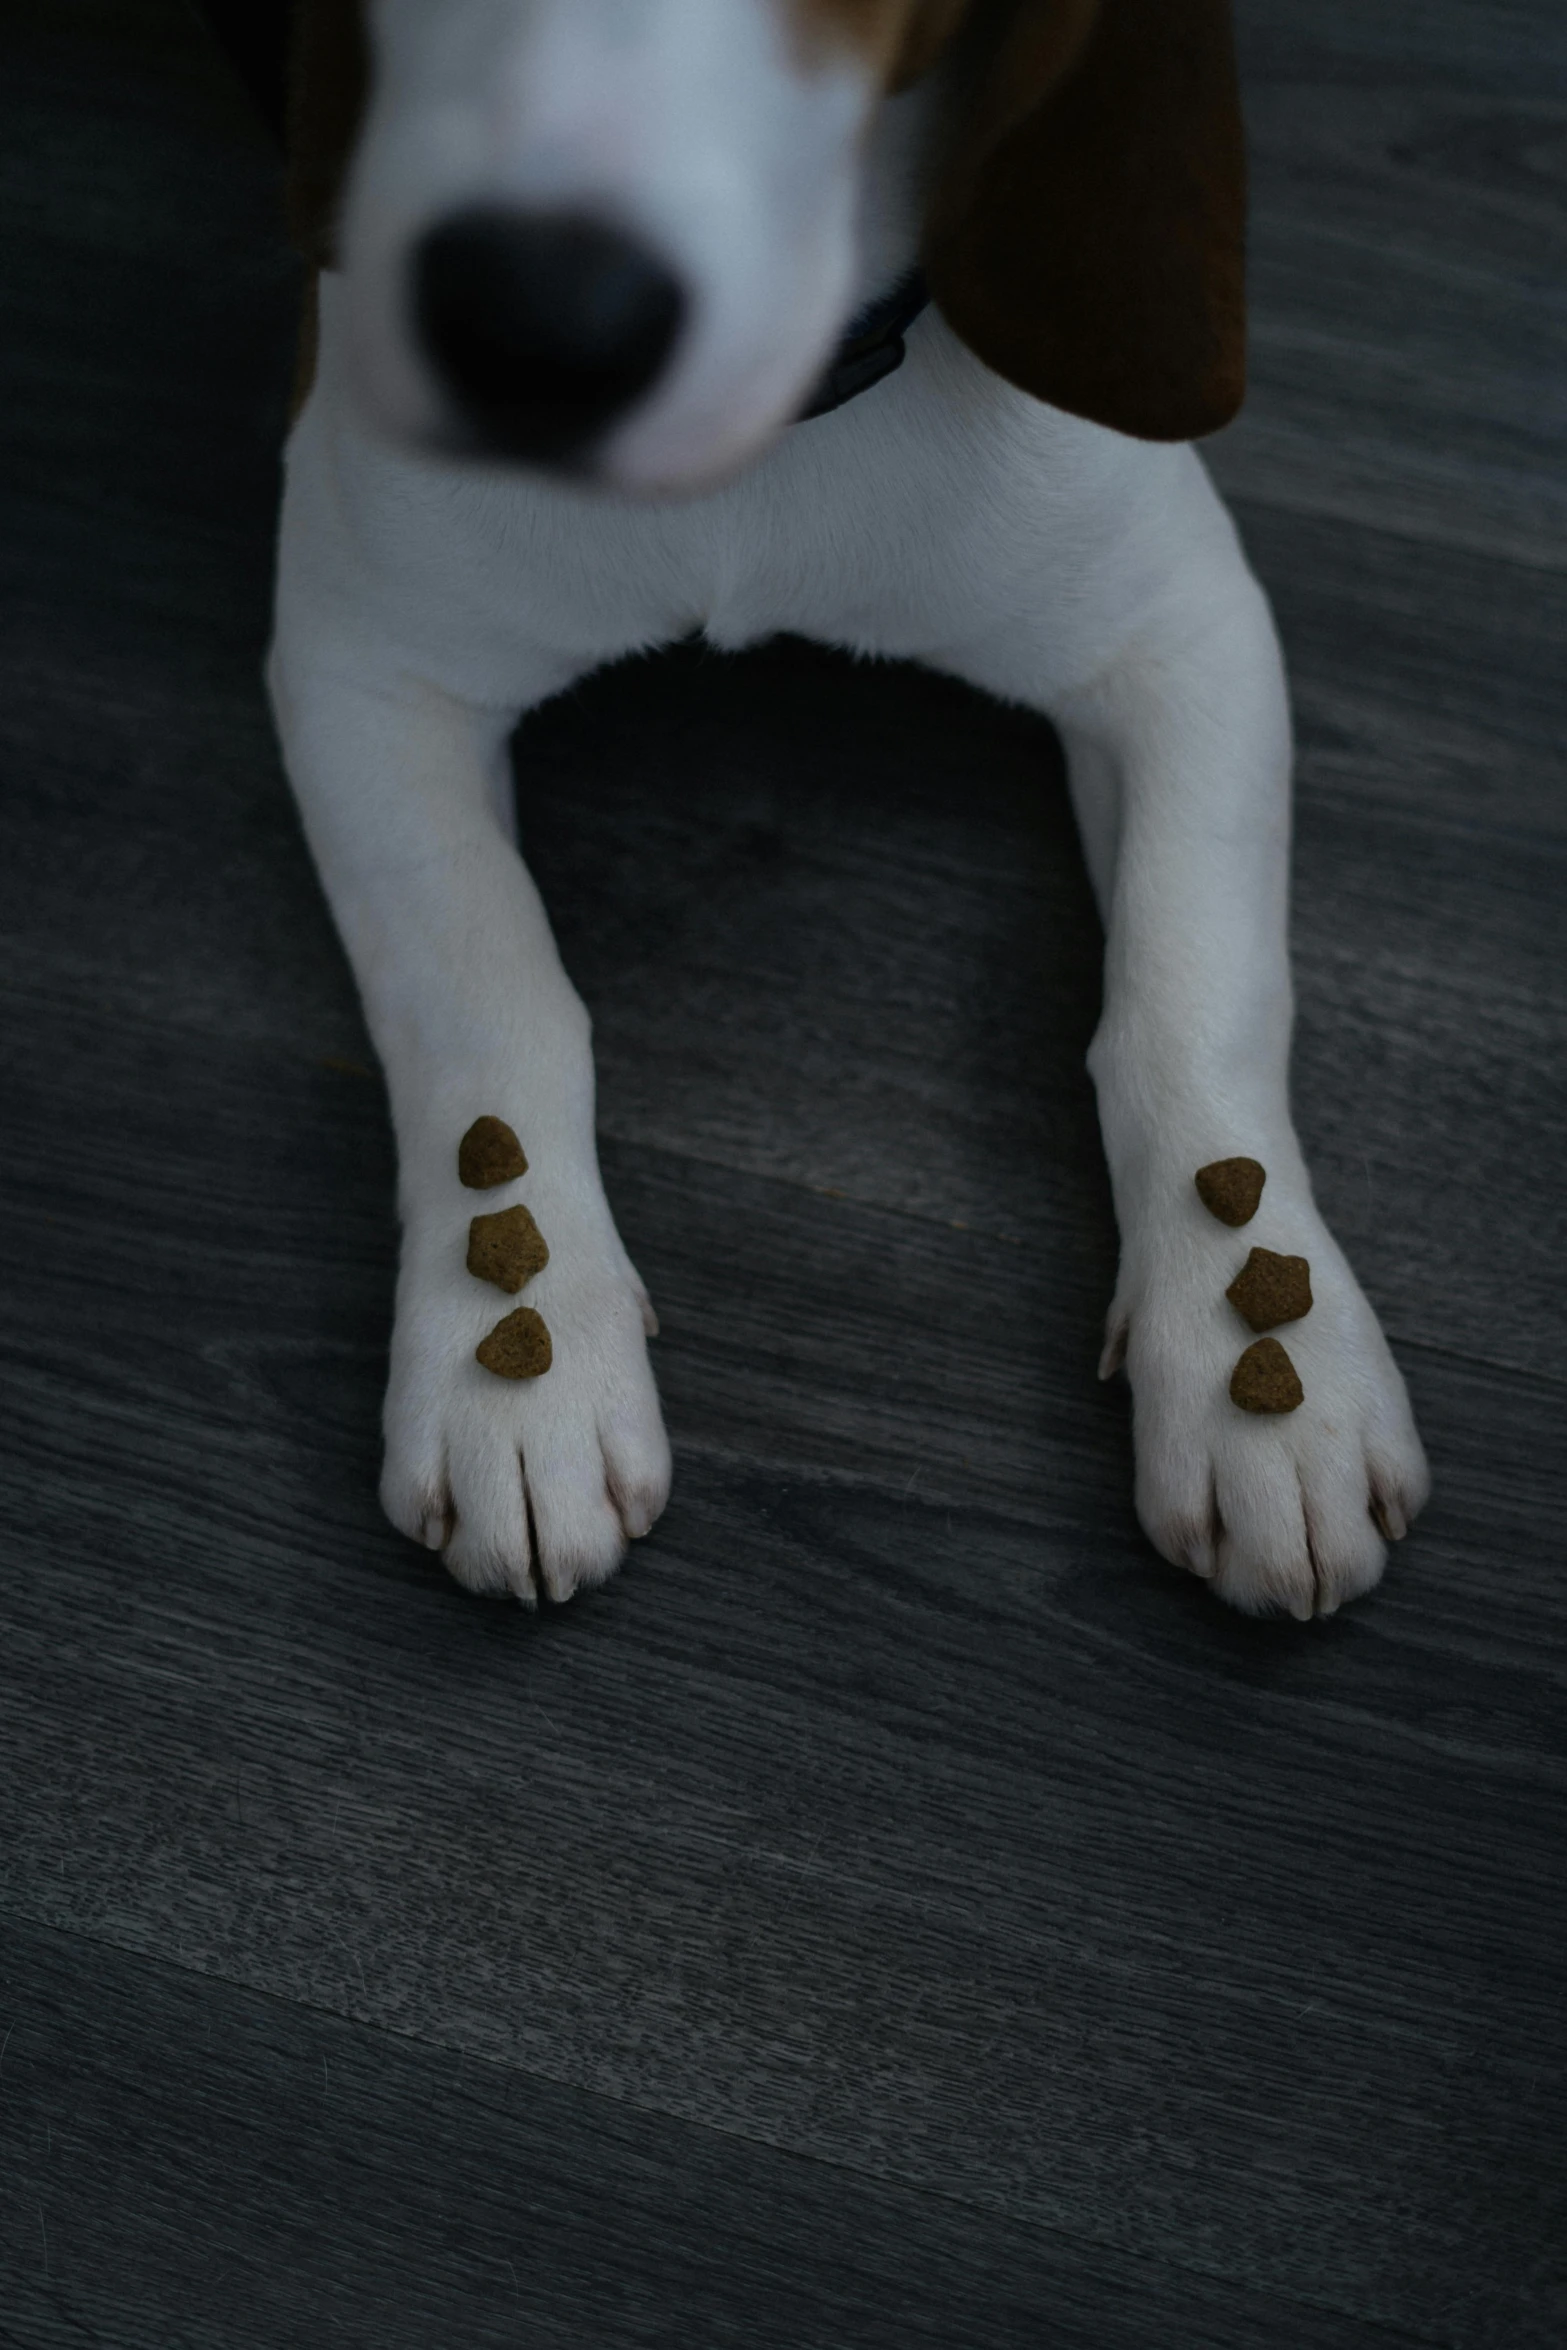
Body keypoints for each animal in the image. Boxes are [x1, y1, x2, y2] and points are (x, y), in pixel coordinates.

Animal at [236, 0, 1437, 1616]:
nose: (537, 324)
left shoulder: (1182, 631)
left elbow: (1187, 990)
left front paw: (1265, 1369)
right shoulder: (359, 665)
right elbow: (487, 998)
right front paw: (515, 1363)